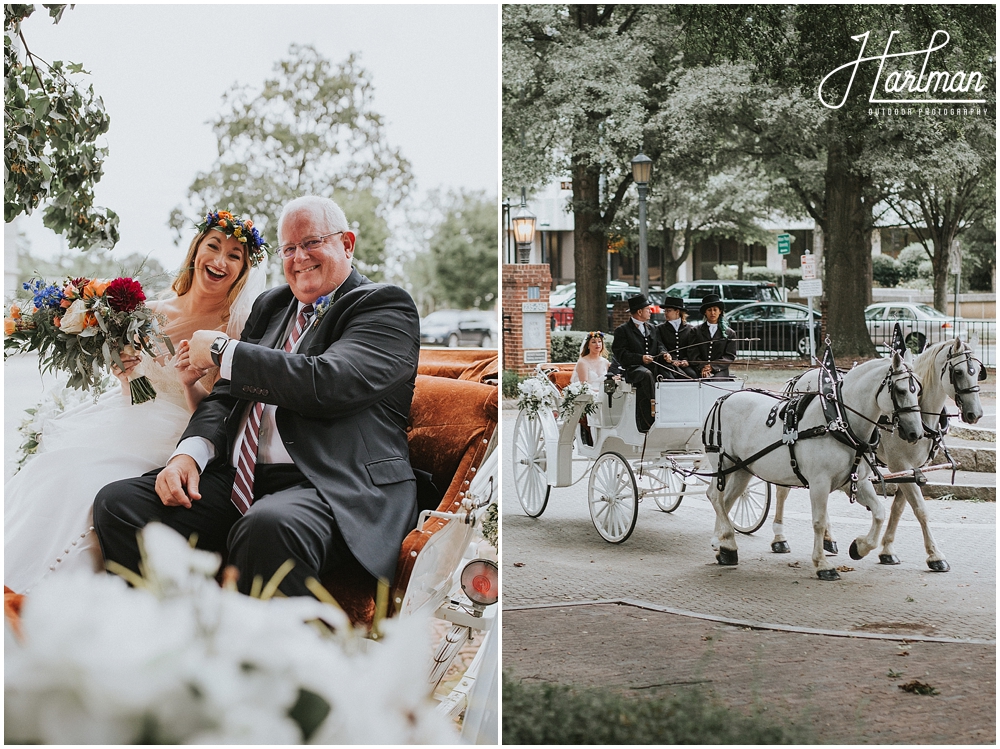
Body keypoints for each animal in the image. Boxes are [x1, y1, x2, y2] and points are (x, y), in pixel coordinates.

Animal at [704, 354, 920, 580]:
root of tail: (724, 398)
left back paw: (725, 546)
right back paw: (728, 542)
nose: (915, 433)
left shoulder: (856, 482)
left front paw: (859, 547)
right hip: (723, 463)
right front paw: (822, 564)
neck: (839, 421)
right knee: (715, 496)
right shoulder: (819, 483)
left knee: (726, 501)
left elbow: (879, 512)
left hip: (742, 470)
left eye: (918, 390)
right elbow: (819, 522)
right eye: (901, 390)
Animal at [768, 336, 988, 568]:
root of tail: (799, 377)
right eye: (959, 372)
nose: (975, 414)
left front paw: (887, 550)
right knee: (782, 490)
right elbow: (920, 509)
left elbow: (898, 509)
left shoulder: (912, 470)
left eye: (978, 372)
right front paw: (935, 555)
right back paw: (779, 538)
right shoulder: (900, 464)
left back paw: (828, 539)